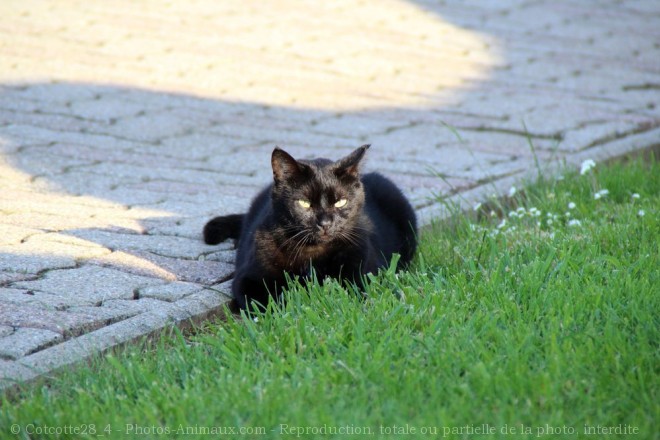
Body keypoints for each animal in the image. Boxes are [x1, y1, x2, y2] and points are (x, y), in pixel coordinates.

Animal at [202, 144, 418, 310]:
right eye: (304, 203)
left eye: (340, 202)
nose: (325, 223)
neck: (313, 253)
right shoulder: (248, 278)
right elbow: (265, 303)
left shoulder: (365, 271)